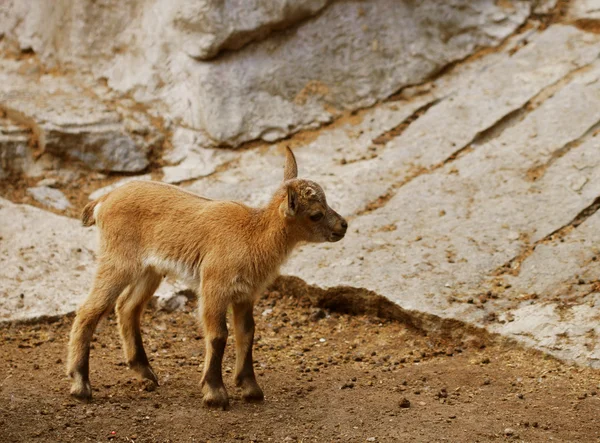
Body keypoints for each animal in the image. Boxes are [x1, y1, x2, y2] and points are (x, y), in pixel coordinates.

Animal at [67, 148, 346, 410]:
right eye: (316, 214)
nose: (343, 226)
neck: (253, 236)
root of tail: (103, 201)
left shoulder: (245, 295)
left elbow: (247, 332)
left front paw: (251, 389)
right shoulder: (214, 286)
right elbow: (218, 335)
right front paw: (215, 393)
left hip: (149, 270)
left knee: (127, 307)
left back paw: (145, 373)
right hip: (118, 261)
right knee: (88, 310)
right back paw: (80, 385)